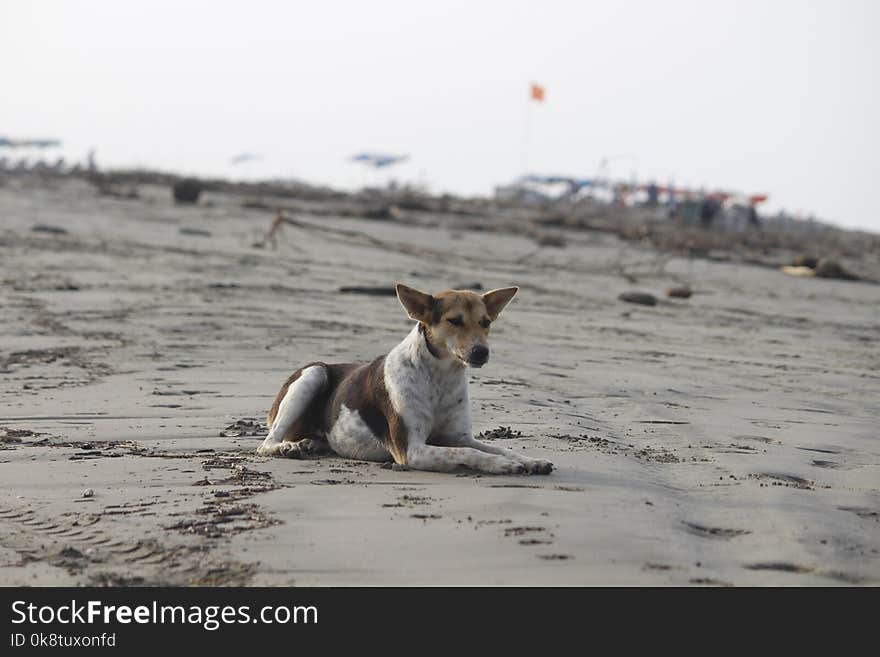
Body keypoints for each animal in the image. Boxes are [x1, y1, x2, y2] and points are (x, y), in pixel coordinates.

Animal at [258, 284, 552, 474]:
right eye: (455, 321)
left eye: (486, 322)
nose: (481, 352)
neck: (441, 377)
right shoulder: (412, 450)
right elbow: (469, 453)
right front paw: (502, 465)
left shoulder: (459, 437)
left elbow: (498, 448)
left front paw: (530, 460)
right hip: (313, 374)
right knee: (266, 443)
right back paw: (288, 447)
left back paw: (309, 443)